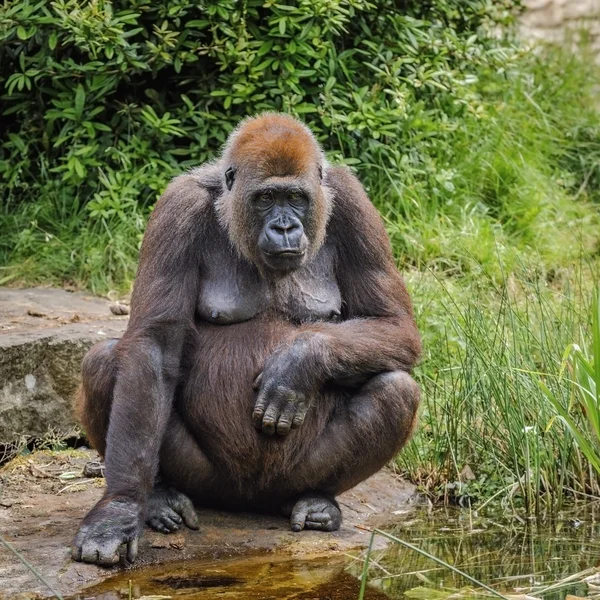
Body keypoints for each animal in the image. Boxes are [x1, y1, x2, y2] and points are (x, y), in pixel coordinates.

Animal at [72, 113, 422, 568]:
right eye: (266, 198)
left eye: (296, 198)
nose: (285, 226)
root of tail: (248, 502)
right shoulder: (178, 207)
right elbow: (154, 345)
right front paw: (118, 509)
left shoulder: (353, 201)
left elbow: (394, 324)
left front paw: (300, 362)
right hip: (211, 483)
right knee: (104, 362)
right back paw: (160, 497)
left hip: (286, 482)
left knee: (396, 390)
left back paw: (317, 500)